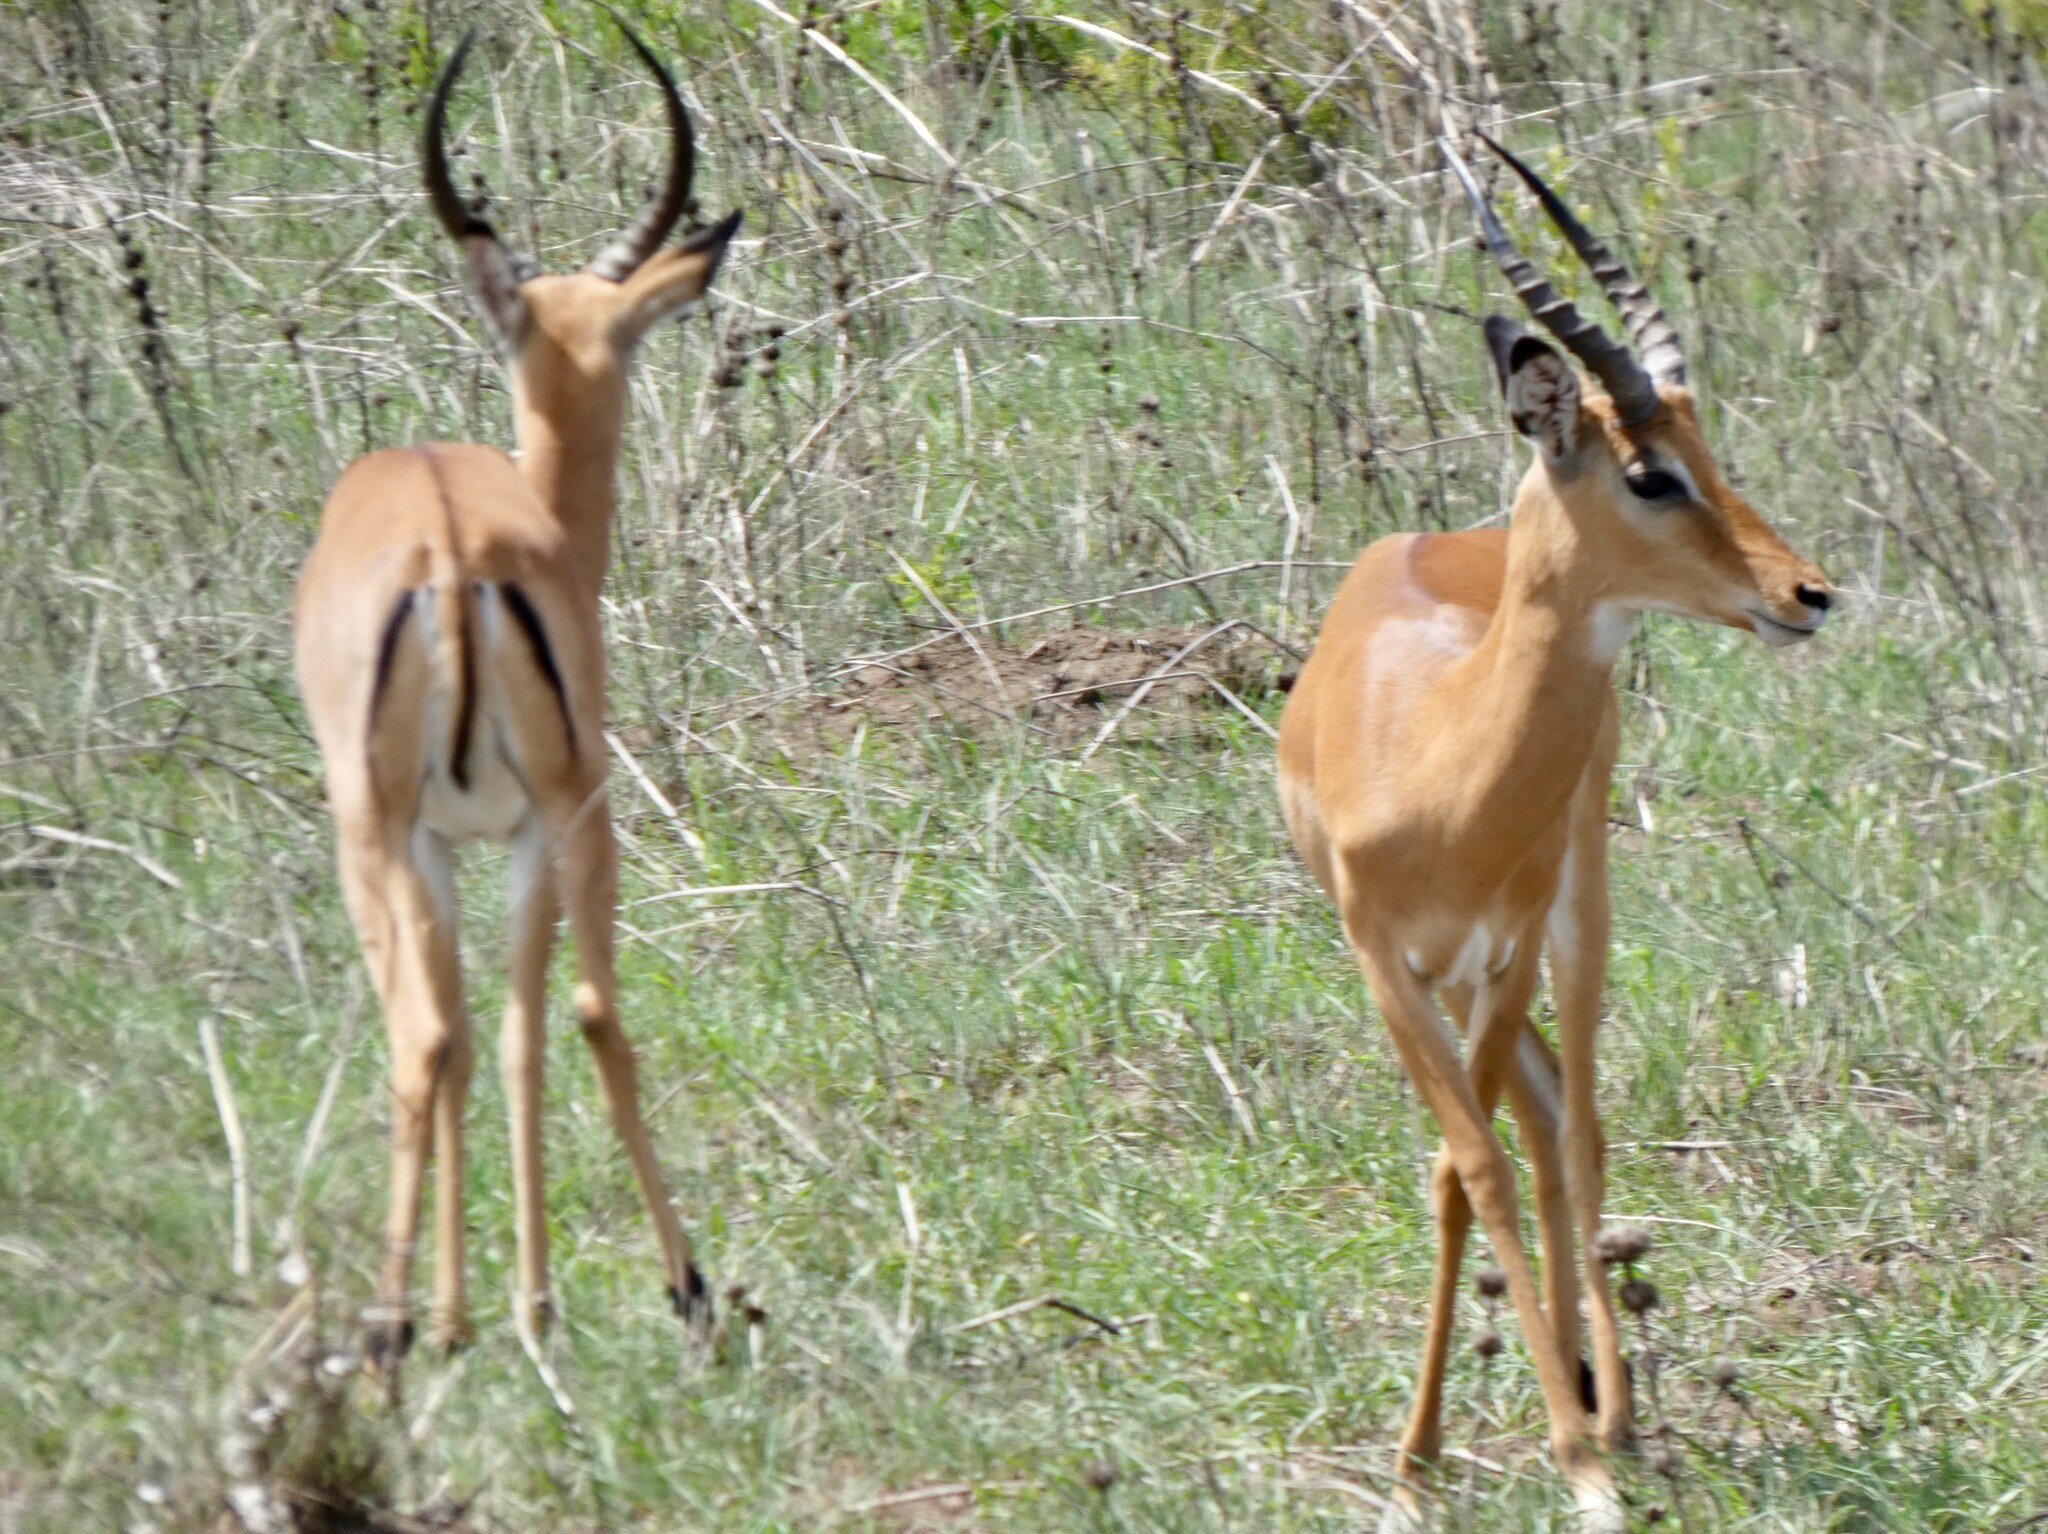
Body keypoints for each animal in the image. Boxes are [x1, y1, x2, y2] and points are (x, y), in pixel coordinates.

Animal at [294, 25, 741, 1374]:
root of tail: (451, 551)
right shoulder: (476, 838)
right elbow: (501, 1031)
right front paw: (484, 1308)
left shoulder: (442, 839)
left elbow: (469, 1034)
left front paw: (477, 1310)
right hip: (539, 821)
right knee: (535, 1020)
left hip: (428, 829)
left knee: (451, 1033)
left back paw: (414, 1322)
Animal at [1276, 135, 1833, 1528]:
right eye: (1647, 471)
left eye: (1705, 445)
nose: (1806, 593)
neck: (1434, 764)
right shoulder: (1386, 962)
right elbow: (1466, 1167)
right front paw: (1418, 1463)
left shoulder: (1505, 942)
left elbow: (1469, 1166)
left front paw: (1574, 1458)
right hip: (1481, 969)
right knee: (1530, 1125)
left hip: (1570, 916)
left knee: (1570, 1124)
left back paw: (1612, 1413)